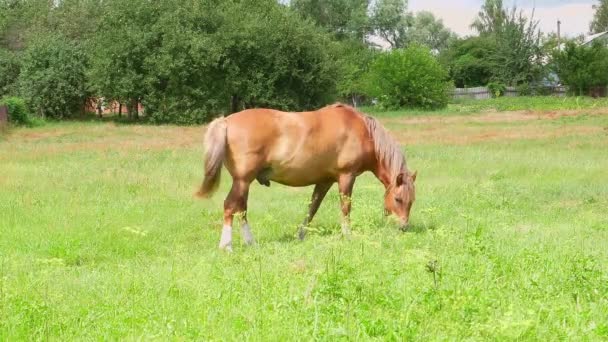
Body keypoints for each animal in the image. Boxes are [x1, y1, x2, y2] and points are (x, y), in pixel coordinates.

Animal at [197, 103, 416, 250]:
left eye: (411, 201)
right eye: (398, 199)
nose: (404, 227)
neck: (362, 131)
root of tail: (225, 121)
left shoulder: (325, 181)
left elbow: (312, 208)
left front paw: (301, 235)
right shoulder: (346, 176)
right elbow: (345, 207)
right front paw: (348, 235)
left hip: (244, 183)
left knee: (241, 209)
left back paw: (251, 243)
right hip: (242, 181)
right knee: (230, 206)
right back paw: (227, 246)